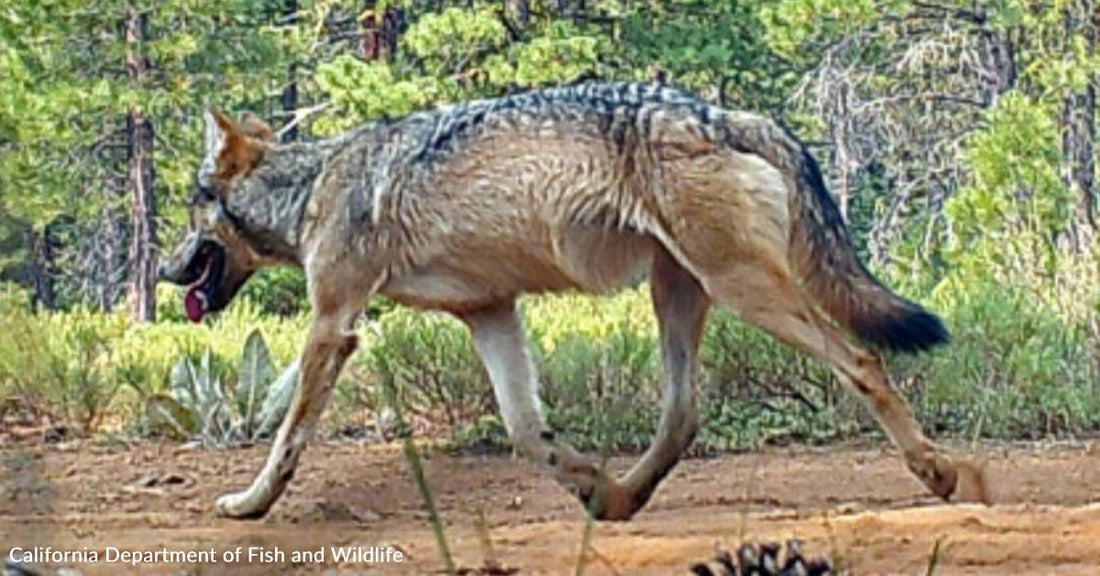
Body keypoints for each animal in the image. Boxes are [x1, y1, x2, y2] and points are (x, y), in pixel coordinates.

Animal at [160, 81, 990, 521]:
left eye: (188, 210)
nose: (166, 274)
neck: (309, 190)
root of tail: (728, 114)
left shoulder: (333, 325)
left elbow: (285, 440)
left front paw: (248, 504)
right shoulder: (491, 312)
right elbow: (527, 434)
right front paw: (585, 478)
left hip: (745, 291)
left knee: (862, 360)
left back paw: (941, 474)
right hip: (679, 297)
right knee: (683, 414)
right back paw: (618, 499)